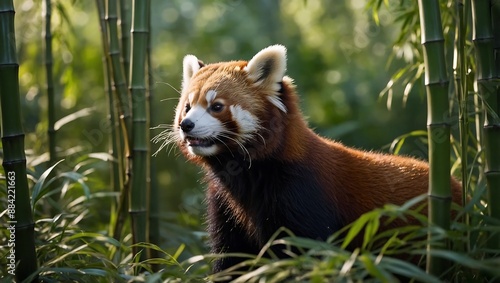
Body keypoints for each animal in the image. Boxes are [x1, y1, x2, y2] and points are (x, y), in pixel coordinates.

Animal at [167, 45, 460, 276]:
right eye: (187, 107)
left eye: (216, 106)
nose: (186, 125)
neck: (248, 175)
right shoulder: (225, 205)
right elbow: (231, 259)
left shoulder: (302, 194)